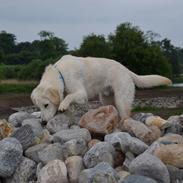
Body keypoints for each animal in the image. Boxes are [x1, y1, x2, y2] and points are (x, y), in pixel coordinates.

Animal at [31, 55, 172, 122]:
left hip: (121, 100)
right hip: (106, 100)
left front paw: (63, 105)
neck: (60, 74)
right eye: (39, 107)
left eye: (46, 105)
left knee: (126, 115)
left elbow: (69, 97)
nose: (43, 122)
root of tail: (125, 69)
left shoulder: (81, 94)